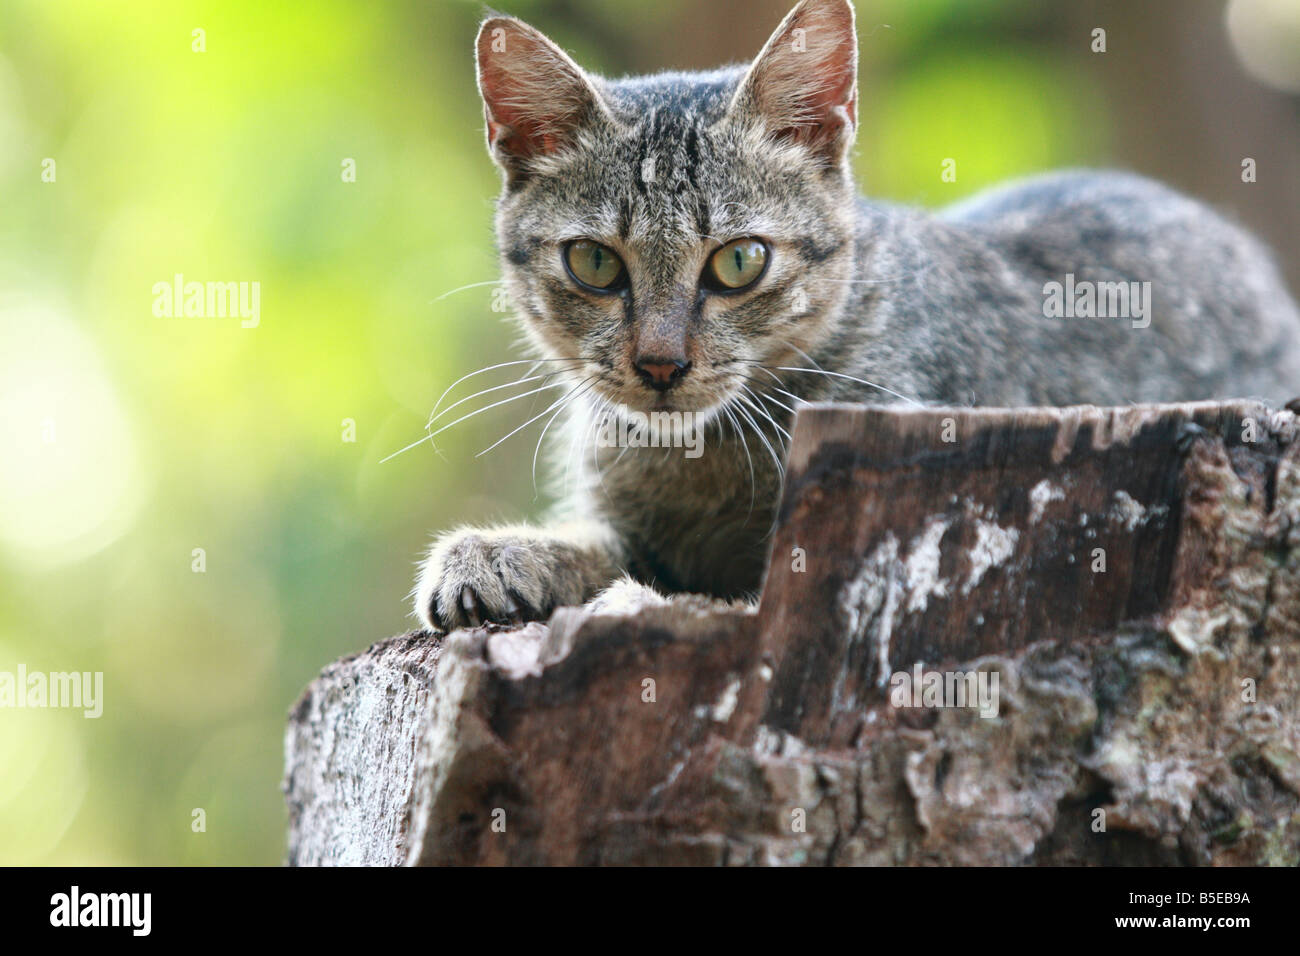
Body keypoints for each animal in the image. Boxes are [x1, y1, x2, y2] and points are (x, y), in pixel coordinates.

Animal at [410, 0, 1300, 634]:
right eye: (594, 263)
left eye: (740, 261)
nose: (661, 364)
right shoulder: (638, 530)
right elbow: (597, 544)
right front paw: (495, 553)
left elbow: (719, 604)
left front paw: (633, 605)